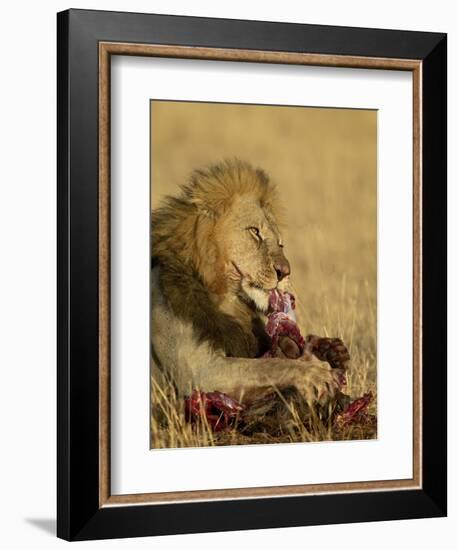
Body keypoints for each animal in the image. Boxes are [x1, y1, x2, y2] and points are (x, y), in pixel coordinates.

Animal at [152, 160, 348, 410]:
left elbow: (267, 360)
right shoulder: (201, 373)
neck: (226, 298)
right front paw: (316, 372)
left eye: (280, 243)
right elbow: (265, 366)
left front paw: (328, 351)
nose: (285, 272)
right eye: (255, 232)